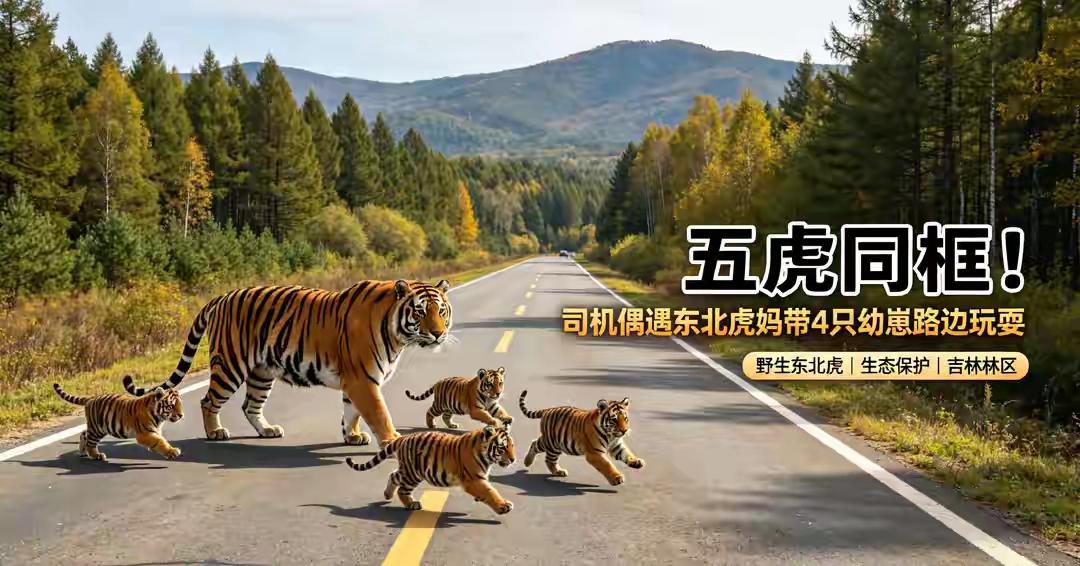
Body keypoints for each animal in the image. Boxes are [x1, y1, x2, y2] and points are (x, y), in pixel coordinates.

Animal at [53, 383, 184, 461]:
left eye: (180, 404)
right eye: (171, 406)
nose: (181, 415)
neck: (159, 417)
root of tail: (91, 398)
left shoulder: (153, 432)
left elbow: (158, 442)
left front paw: (166, 452)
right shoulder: (145, 434)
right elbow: (160, 441)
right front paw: (173, 451)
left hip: (98, 427)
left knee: (84, 434)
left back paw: (82, 452)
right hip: (98, 429)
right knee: (90, 441)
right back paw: (96, 455)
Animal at [121, 279, 453, 448]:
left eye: (441, 311)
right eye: (420, 312)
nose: (439, 333)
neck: (398, 335)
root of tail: (222, 296)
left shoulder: (355, 381)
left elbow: (352, 412)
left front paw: (352, 436)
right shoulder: (363, 379)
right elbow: (379, 414)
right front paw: (393, 441)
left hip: (261, 372)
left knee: (249, 406)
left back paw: (267, 430)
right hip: (230, 365)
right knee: (208, 400)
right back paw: (215, 433)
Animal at [344, 425, 515, 515]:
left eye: (512, 446)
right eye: (502, 448)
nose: (513, 459)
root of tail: (403, 438)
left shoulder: (479, 478)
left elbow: (486, 490)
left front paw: (482, 499)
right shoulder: (473, 478)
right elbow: (490, 491)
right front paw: (503, 506)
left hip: (409, 471)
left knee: (393, 475)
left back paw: (387, 494)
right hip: (412, 473)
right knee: (402, 488)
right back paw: (411, 504)